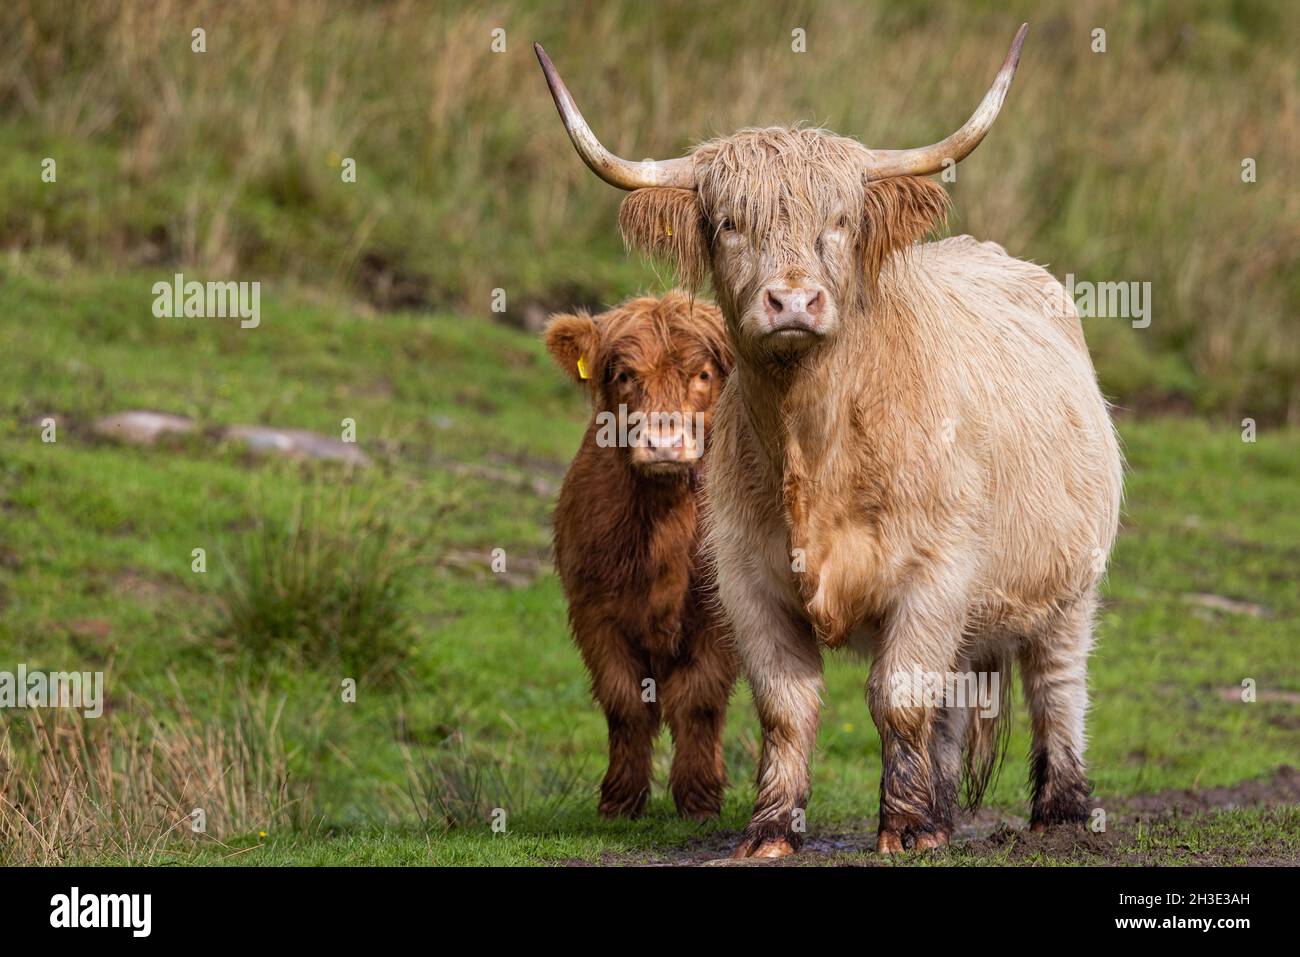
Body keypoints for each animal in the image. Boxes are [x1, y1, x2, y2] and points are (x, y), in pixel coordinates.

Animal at [543, 293, 738, 821]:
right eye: (626, 375)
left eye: (703, 374)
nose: (664, 444)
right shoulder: (592, 610)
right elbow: (625, 702)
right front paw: (619, 800)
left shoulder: (720, 616)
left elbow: (699, 700)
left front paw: (699, 799)